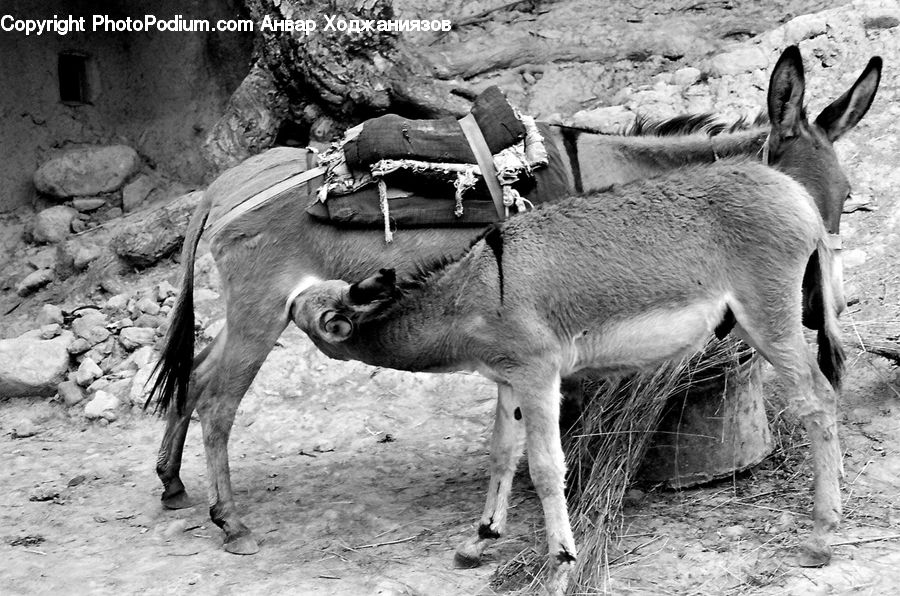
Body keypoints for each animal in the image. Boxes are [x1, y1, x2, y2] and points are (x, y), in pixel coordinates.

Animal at [148, 46, 880, 569]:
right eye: (819, 197)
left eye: (845, 197)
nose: (825, 306)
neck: (603, 171)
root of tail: (221, 186)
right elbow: (551, 434)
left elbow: (526, 436)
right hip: (261, 309)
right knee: (218, 400)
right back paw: (231, 521)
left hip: (250, 310)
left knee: (197, 374)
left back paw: (173, 484)